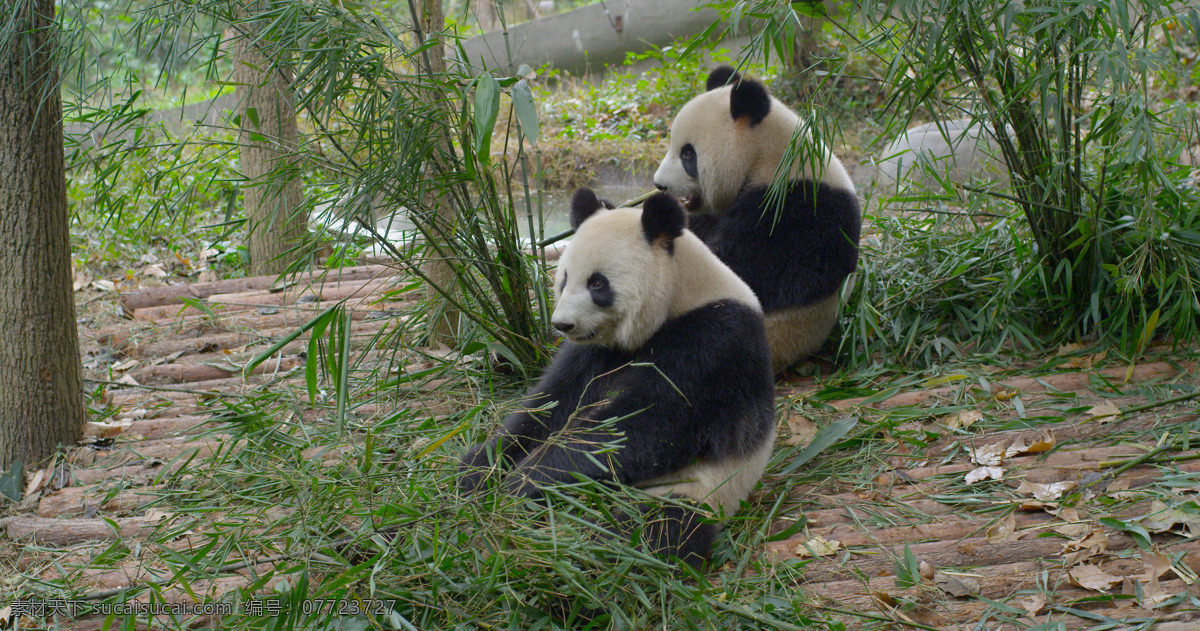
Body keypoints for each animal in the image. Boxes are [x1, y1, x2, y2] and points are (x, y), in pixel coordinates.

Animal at [453, 188, 772, 568]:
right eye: (564, 278)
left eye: (597, 283)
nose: (562, 325)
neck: (682, 294)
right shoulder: (594, 352)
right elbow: (552, 403)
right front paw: (482, 469)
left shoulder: (714, 340)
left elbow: (645, 427)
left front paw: (524, 481)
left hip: (695, 488)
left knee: (653, 531)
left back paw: (588, 552)